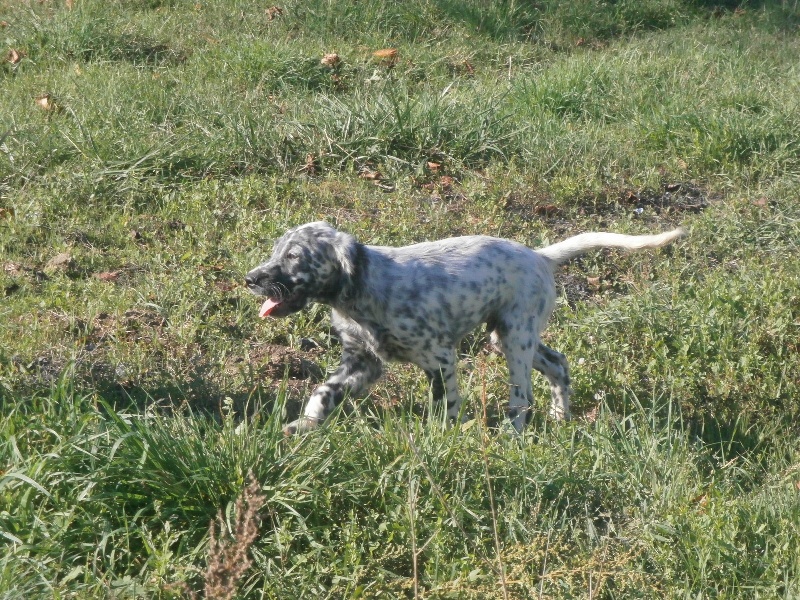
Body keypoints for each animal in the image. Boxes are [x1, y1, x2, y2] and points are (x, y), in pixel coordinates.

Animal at [245, 222, 684, 434]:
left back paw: (513, 434)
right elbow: (323, 392)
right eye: (275, 251)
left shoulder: (439, 358)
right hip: (507, 335)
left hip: (515, 338)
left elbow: (445, 407)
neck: (358, 294)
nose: (250, 278)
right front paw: (303, 425)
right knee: (559, 364)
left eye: (294, 256)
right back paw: (560, 418)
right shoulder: (362, 363)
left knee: (522, 395)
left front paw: (440, 442)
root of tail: (539, 255)